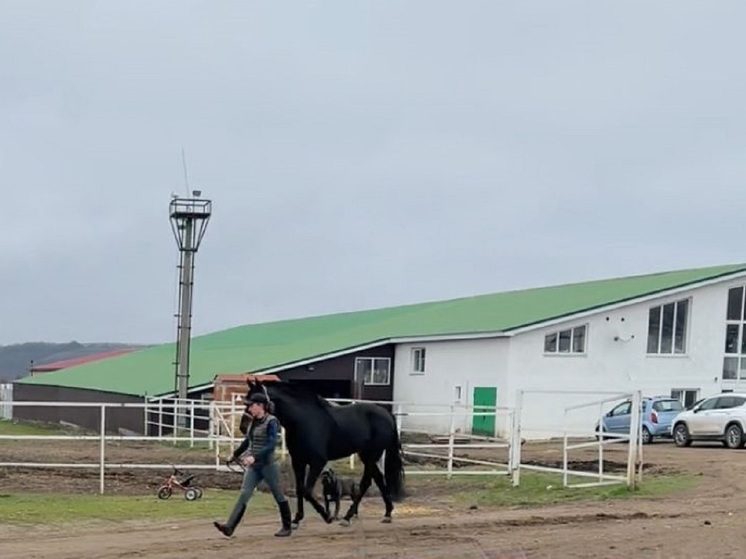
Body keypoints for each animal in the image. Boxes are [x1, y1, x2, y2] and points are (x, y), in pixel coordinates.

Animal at [238, 376, 402, 528]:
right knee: (379, 478)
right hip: (367, 455)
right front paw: (297, 519)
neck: (303, 420)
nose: (243, 426)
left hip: (371, 455)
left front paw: (326, 516)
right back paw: (387, 513)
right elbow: (299, 489)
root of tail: (387, 414)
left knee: (367, 482)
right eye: (247, 401)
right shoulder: (298, 461)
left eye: (256, 401)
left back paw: (347, 518)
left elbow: (307, 491)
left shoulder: (317, 462)